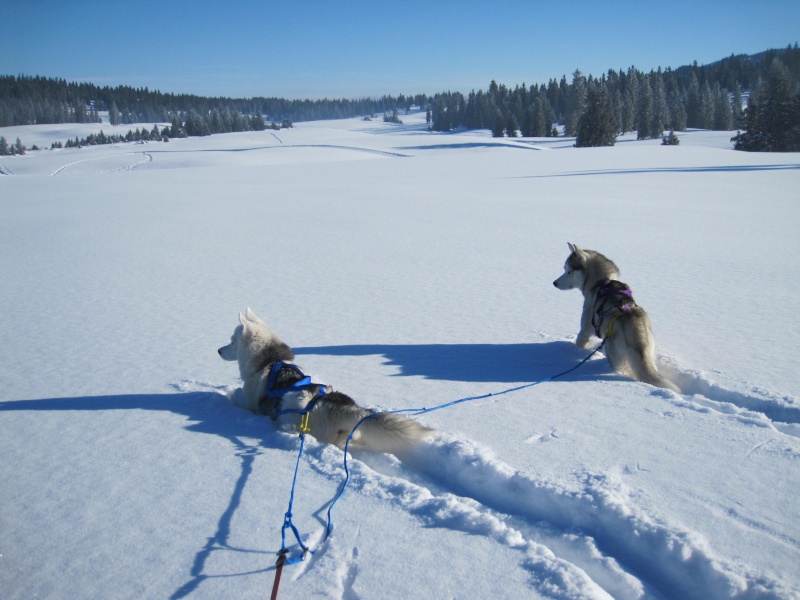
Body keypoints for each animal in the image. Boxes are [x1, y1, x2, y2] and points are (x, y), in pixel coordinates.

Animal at [217, 308, 432, 452]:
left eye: (232, 341)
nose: (218, 350)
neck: (269, 361)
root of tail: (338, 406)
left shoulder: (248, 404)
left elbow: (236, 395)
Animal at [552, 244, 680, 394]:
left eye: (569, 271)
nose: (554, 283)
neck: (603, 281)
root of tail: (632, 319)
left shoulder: (585, 330)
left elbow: (580, 341)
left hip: (616, 356)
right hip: (649, 353)